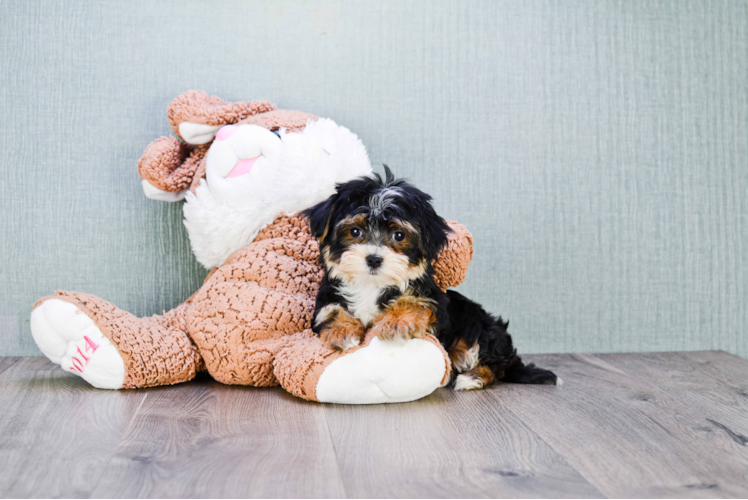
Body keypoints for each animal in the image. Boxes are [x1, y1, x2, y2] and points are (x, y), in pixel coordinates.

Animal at [300, 167, 560, 390]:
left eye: (399, 235)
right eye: (355, 231)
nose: (373, 259)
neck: (372, 285)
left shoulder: (435, 304)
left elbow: (416, 302)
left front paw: (396, 321)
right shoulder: (326, 299)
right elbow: (333, 310)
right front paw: (342, 332)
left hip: (478, 327)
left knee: (494, 364)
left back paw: (472, 378)